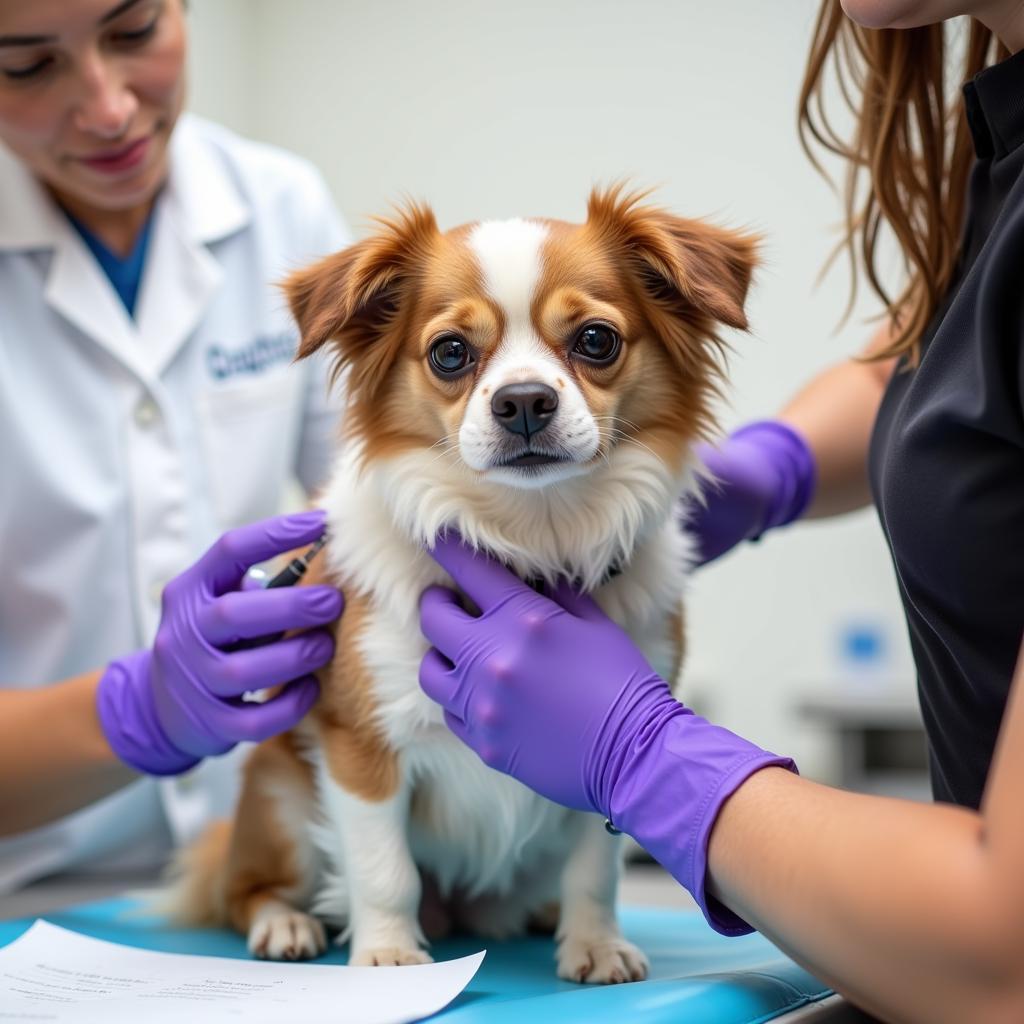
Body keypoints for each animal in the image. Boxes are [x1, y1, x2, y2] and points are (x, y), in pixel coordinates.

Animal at [167, 190, 757, 983]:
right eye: (450, 352)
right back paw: (286, 923)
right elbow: (383, 868)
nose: (525, 400)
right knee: (244, 890)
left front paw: (594, 943)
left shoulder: (608, 748)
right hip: (277, 794)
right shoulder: (361, 746)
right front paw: (388, 954)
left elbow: (594, 868)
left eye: (596, 340)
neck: (527, 548)